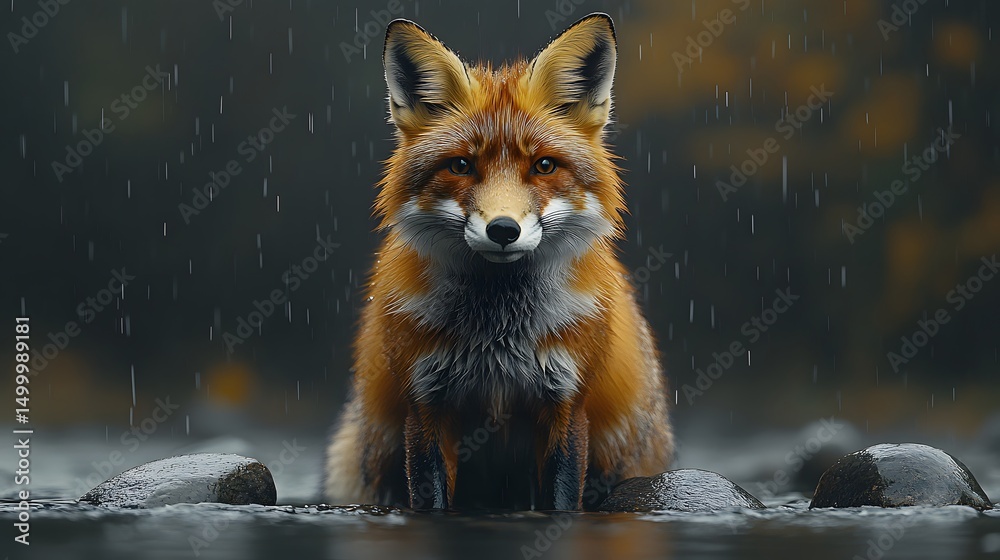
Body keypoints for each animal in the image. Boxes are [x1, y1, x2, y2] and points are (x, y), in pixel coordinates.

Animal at [324, 13, 673, 511]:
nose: (503, 230)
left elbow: (561, 499)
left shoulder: (567, 402)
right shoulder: (425, 402)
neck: (498, 336)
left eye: (544, 166)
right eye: (461, 166)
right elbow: (431, 498)